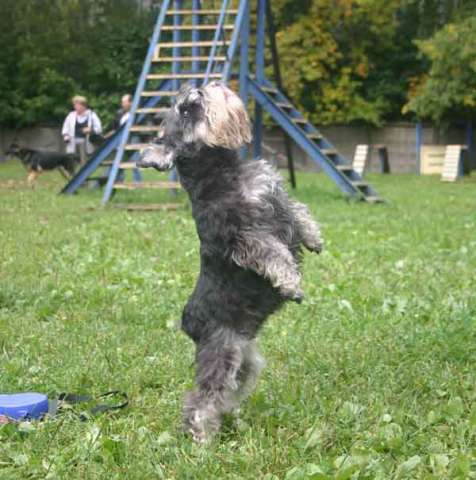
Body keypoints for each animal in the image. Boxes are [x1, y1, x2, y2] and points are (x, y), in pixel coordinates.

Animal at [138, 81, 324, 442]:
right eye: (185, 110)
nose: (200, 86)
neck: (220, 170)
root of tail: (189, 326)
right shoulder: (243, 239)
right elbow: (274, 253)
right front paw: (291, 283)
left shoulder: (275, 197)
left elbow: (299, 212)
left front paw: (314, 238)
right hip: (222, 356)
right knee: (201, 399)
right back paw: (201, 438)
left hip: (244, 362)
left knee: (225, 396)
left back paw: (231, 423)